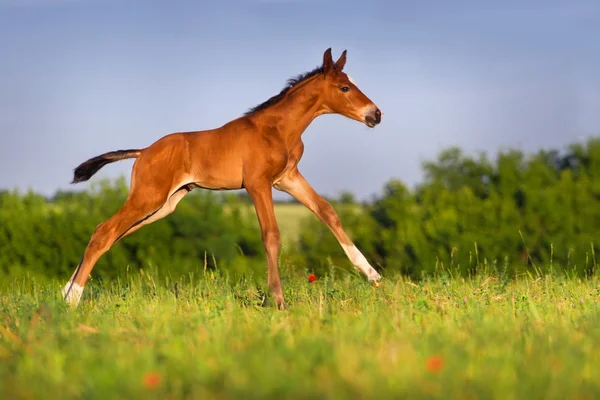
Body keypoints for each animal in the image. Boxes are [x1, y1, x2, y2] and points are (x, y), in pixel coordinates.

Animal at [63, 47, 384, 310]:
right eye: (344, 87)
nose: (376, 114)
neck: (278, 129)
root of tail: (143, 152)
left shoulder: (288, 179)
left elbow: (327, 211)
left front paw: (372, 275)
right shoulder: (257, 183)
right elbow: (271, 234)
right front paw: (278, 300)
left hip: (164, 204)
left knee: (111, 233)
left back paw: (66, 292)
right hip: (148, 197)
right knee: (105, 232)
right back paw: (73, 300)